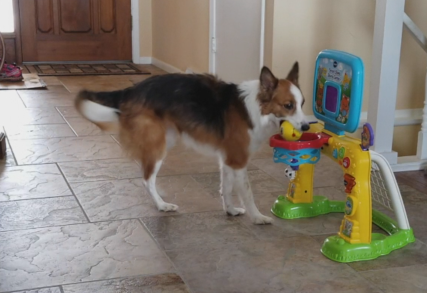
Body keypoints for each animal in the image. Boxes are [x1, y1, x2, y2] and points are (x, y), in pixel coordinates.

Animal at [73, 63, 308, 224]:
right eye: (288, 105)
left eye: (303, 104)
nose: (307, 126)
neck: (255, 109)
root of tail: (131, 89)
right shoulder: (238, 160)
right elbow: (247, 193)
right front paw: (258, 217)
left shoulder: (227, 159)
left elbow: (227, 188)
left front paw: (230, 210)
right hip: (158, 146)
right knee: (147, 180)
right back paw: (161, 205)